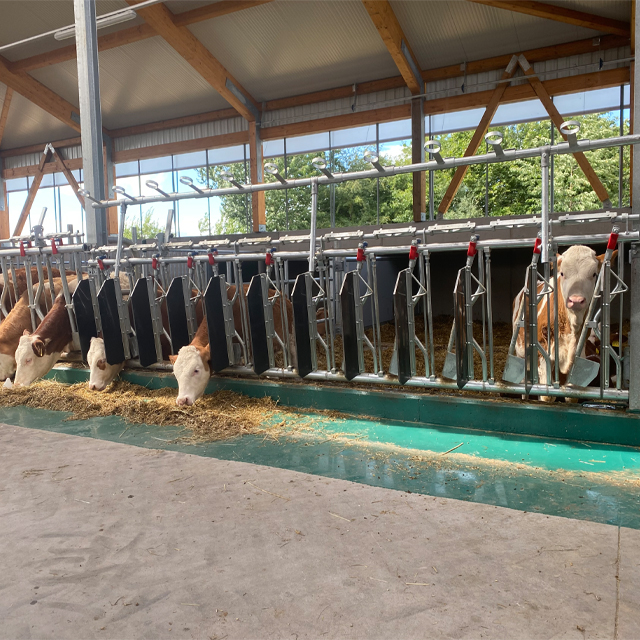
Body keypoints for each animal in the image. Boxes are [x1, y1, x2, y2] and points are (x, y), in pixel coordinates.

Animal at [512, 244, 615, 397]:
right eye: (562, 273)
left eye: (593, 274)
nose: (576, 300)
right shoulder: (543, 352)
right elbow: (546, 396)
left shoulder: (578, 352)